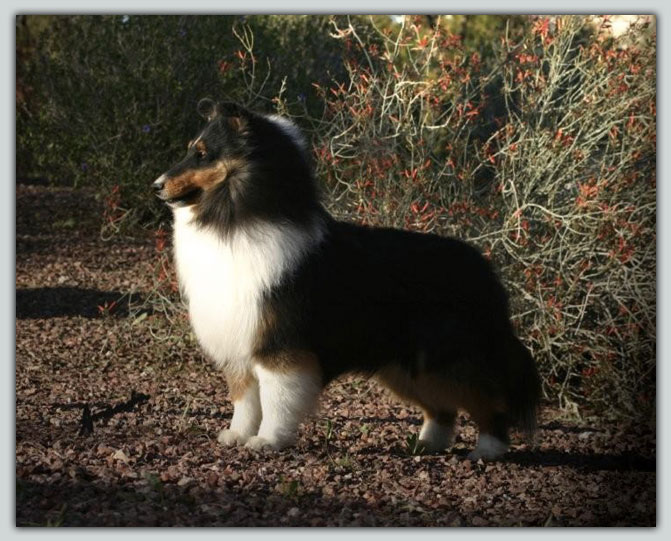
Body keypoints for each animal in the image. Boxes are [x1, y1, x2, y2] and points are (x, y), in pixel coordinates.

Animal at [152, 99, 540, 458]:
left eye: (202, 154)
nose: (156, 185)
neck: (236, 219)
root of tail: (486, 271)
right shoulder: (241, 346)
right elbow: (245, 400)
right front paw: (237, 435)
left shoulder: (280, 348)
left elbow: (277, 400)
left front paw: (268, 441)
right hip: (407, 368)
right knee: (443, 409)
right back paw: (426, 443)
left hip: (449, 358)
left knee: (488, 402)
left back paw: (488, 450)